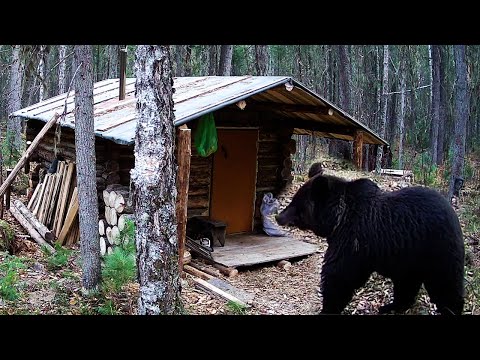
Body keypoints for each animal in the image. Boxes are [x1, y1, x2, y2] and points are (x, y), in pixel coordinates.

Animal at [278, 170, 464, 314]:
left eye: (295, 204)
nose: (279, 216)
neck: (337, 219)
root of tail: (453, 214)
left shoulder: (353, 238)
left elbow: (339, 275)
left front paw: (327, 308)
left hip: (436, 247)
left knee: (446, 284)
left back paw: (450, 309)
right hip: (410, 258)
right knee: (407, 284)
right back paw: (390, 306)